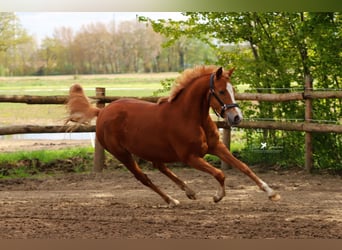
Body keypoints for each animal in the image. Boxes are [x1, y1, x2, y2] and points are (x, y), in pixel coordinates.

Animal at [65, 65, 280, 206]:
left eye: (233, 90)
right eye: (220, 91)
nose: (236, 118)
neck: (190, 117)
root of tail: (101, 112)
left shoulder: (216, 147)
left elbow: (244, 167)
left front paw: (272, 193)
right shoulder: (190, 157)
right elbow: (220, 173)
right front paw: (217, 196)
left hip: (151, 150)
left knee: (160, 167)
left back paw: (188, 192)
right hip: (122, 154)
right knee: (143, 177)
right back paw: (171, 200)